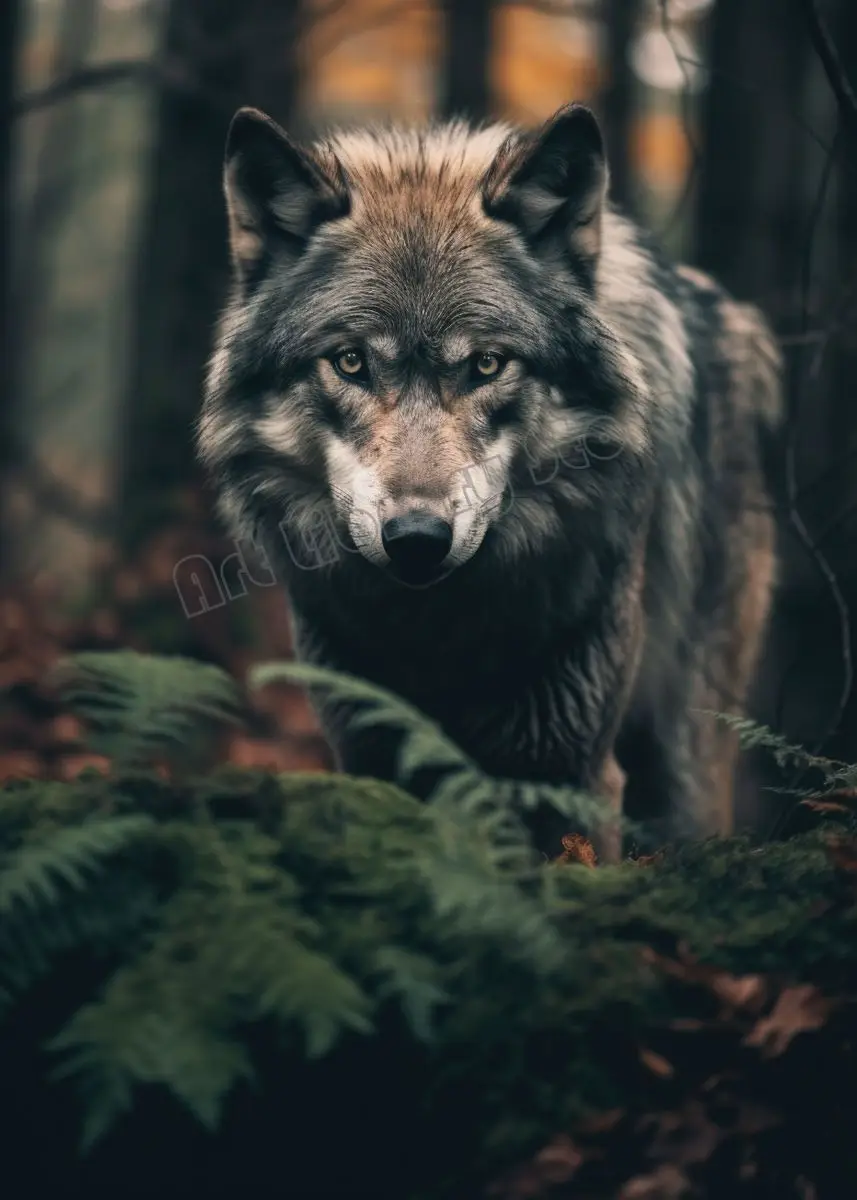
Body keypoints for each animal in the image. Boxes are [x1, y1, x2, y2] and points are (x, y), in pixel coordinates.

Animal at [197, 101, 782, 859]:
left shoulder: (572, 769)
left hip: (688, 748)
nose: (417, 537)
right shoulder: (369, 751)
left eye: (485, 365)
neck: (442, 632)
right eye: (350, 361)